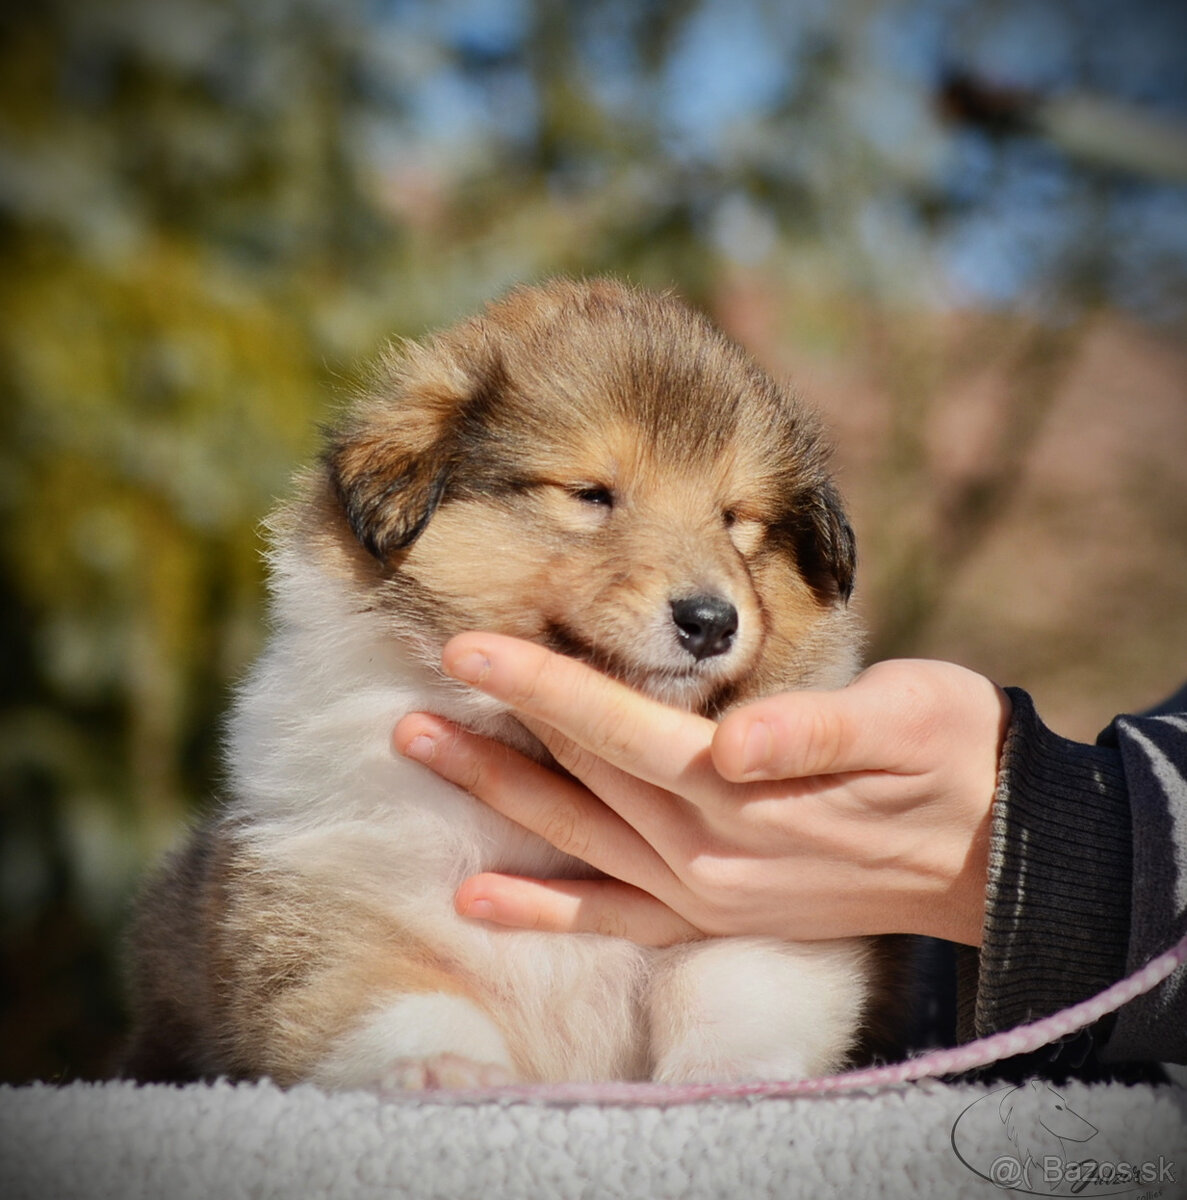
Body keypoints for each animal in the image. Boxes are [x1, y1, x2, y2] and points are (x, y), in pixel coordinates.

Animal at [123, 278, 878, 1089]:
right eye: (590, 494)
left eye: (736, 517)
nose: (710, 622)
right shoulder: (329, 903)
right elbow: (397, 998)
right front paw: (443, 1066)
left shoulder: (764, 902)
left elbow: (729, 985)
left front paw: (730, 1074)